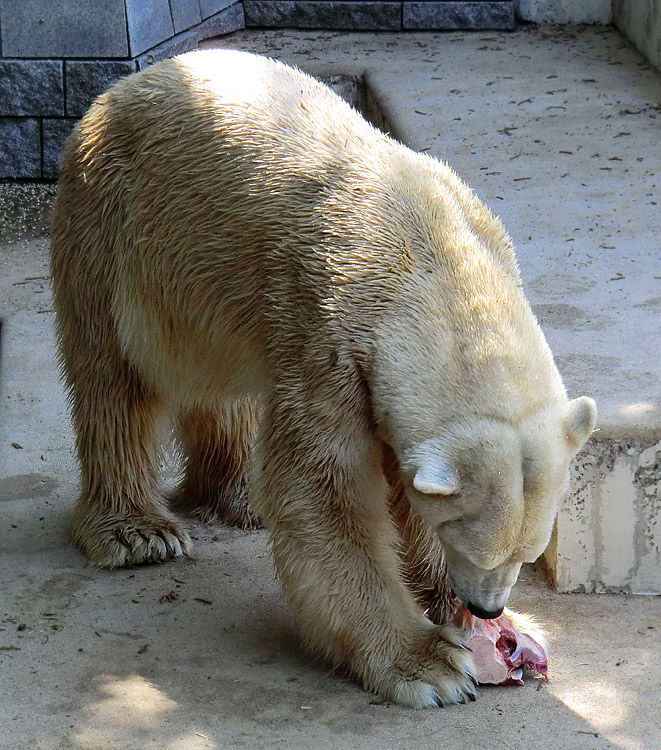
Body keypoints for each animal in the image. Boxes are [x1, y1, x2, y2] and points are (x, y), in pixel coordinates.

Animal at [50, 51, 600, 712]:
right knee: (115, 378)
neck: (432, 256)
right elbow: (322, 490)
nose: (486, 607)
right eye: (472, 542)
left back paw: (237, 497)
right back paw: (139, 533)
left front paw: (497, 625)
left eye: (528, 552)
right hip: (120, 226)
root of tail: (124, 87)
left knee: (224, 387)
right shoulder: (327, 328)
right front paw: (431, 664)